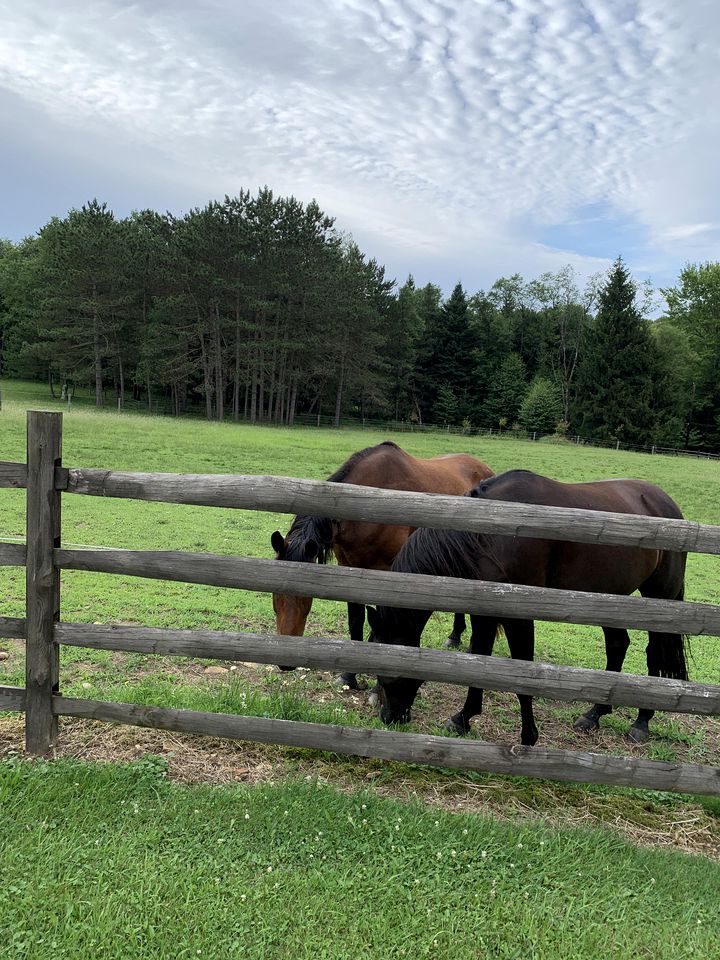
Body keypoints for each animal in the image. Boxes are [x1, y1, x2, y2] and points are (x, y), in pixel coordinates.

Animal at [270, 442, 496, 688]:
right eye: (275, 593)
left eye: (304, 594)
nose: (285, 663)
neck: (365, 504)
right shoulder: (348, 568)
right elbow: (356, 621)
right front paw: (349, 675)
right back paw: (454, 637)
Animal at [368, 468, 688, 748]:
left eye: (389, 677)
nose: (390, 718)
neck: (490, 534)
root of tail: (667, 504)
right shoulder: (483, 611)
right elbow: (478, 660)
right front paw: (463, 718)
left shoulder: (518, 615)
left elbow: (522, 669)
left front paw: (528, 737)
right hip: (610, 597)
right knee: (618, 646)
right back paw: (593, 715)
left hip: (660, 597)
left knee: (655, 652)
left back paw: (641, 722)